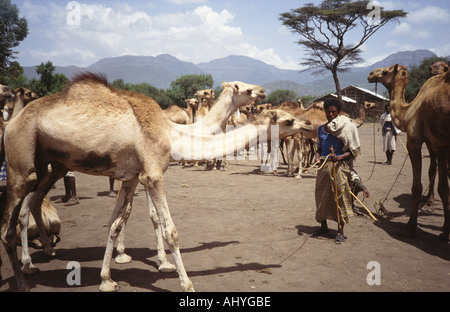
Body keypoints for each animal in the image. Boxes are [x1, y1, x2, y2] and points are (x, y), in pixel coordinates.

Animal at [0, 73, 310, 292]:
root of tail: (11, 123)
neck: (173, 134)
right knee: (11, 224)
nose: (308, 125)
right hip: (22, 162)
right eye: (288, 120)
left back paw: (45, 253)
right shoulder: (152, 174)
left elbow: (115, 222)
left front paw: (107, 279)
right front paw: (180, 278)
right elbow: (166, 227)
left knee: (32, 204)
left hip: (49, 164)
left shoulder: (131, 176)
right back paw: (26, 276)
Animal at [370, 62, 450, 239]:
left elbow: (417, 187)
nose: (371, 74)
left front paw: (409, 228)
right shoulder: (440, 145)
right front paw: (445, 232)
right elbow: (444, 187)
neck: (410, 110)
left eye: (385, 72)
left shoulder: (415, 140)